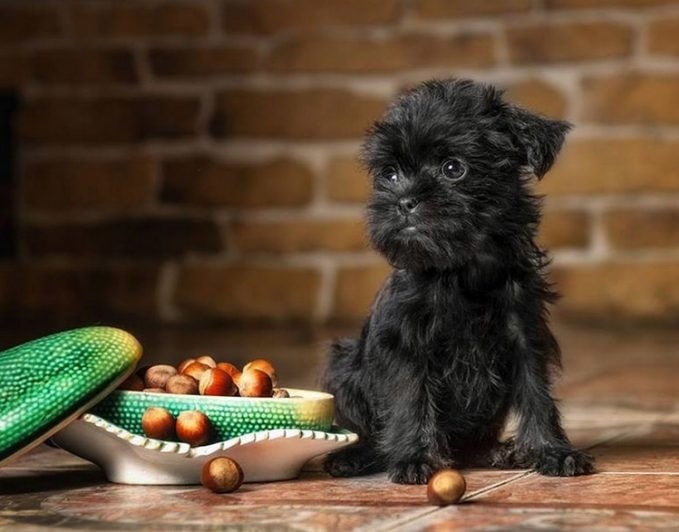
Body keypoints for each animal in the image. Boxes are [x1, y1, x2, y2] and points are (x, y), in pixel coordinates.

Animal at [324, 78, 596, 482]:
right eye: (390, 174)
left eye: (454, 168)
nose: (404, 200)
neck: (462, 270)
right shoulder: (405, 344)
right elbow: (411, 400)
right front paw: (414, 457)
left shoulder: (525, 337)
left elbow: (537, 397)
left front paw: (552, 450)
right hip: (343, 364)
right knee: (368, 432)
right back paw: (354, 457)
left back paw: (495, 451)